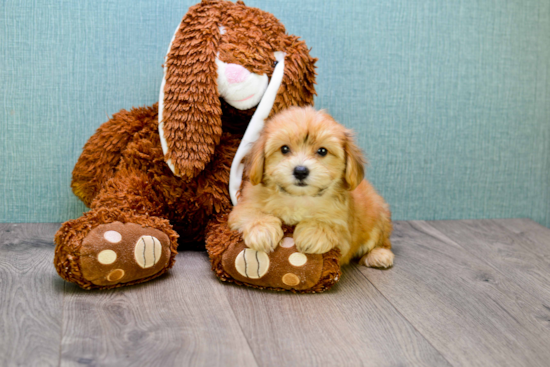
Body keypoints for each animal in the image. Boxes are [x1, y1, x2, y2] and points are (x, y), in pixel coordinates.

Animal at [227, 106, 392, 268]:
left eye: (322, 151)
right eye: (284, 149)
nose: (300, 171)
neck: (298, 197)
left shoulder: (344, 230)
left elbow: (333, 226)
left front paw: (314, 233)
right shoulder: (243, 206)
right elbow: (251, 213)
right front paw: (263, 230)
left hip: (379, 215)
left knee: (382, 241)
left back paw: (379, 255)